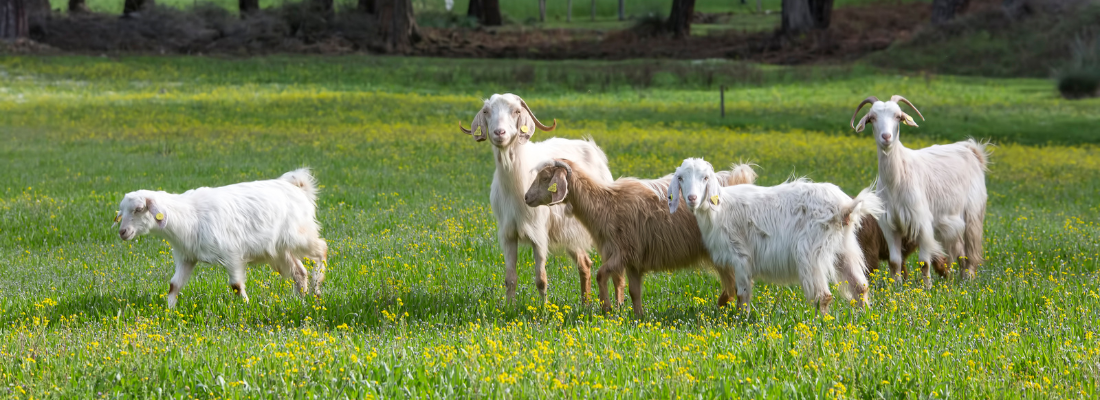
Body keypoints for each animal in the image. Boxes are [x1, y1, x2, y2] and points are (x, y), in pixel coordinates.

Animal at [118, 167, 330, 307]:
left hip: (300, 236)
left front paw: (246, 306)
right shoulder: (187, 257)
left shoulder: (232, 254)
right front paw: (169, 310)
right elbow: (174, 285)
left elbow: (236, 285)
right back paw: (299, 300)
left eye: (139, 209)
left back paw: (317, 288)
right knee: (299, 272)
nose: (122, 232)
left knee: (322, 248)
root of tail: (298, 187)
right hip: (278, 250)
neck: (188, 215)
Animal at [457, 92, 620, 301]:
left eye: (516, 111)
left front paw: (543, 308)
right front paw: (509, 307)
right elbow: (510, 279)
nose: (499, 133)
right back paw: (586, 303)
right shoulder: (508, 234)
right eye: (486, 111)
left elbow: (541, 279)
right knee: (584, 263)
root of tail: (593, 148)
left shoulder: (539, 234)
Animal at [523, 158, 756, 316]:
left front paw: (607, 308)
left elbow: (600, 274)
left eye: (545, 178)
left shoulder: (623, 251)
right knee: (734, 284)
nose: (526, 197)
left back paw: (728, 309)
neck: (605, 204)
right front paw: (638, 316)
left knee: (734, 284)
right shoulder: (633, 260)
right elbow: (634, 291)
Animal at [664, 158, 880, 314]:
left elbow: (742, 293)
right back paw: (864, 316)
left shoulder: (740, 255)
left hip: (810, 252)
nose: (692, 198)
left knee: (823, 295)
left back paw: (820, 324)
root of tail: (845, 207)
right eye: (680, 178)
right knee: (860, 286)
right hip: (845, 248)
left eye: (705, 178)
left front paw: (741, 319)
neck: (719, 208)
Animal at [849, 95, 990, 285]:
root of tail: (971, 149)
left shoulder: (921, 222)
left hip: (973, 212)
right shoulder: (889, 225)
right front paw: (896, 286)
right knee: (960, 252)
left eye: (898, 116)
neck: (897, 179)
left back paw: (969, 279)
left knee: (971, 250)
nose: (886, 137)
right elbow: (895, 261)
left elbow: (924, 261)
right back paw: (959, 281)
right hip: (949, 221)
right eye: (872, 118)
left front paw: (927, 287)